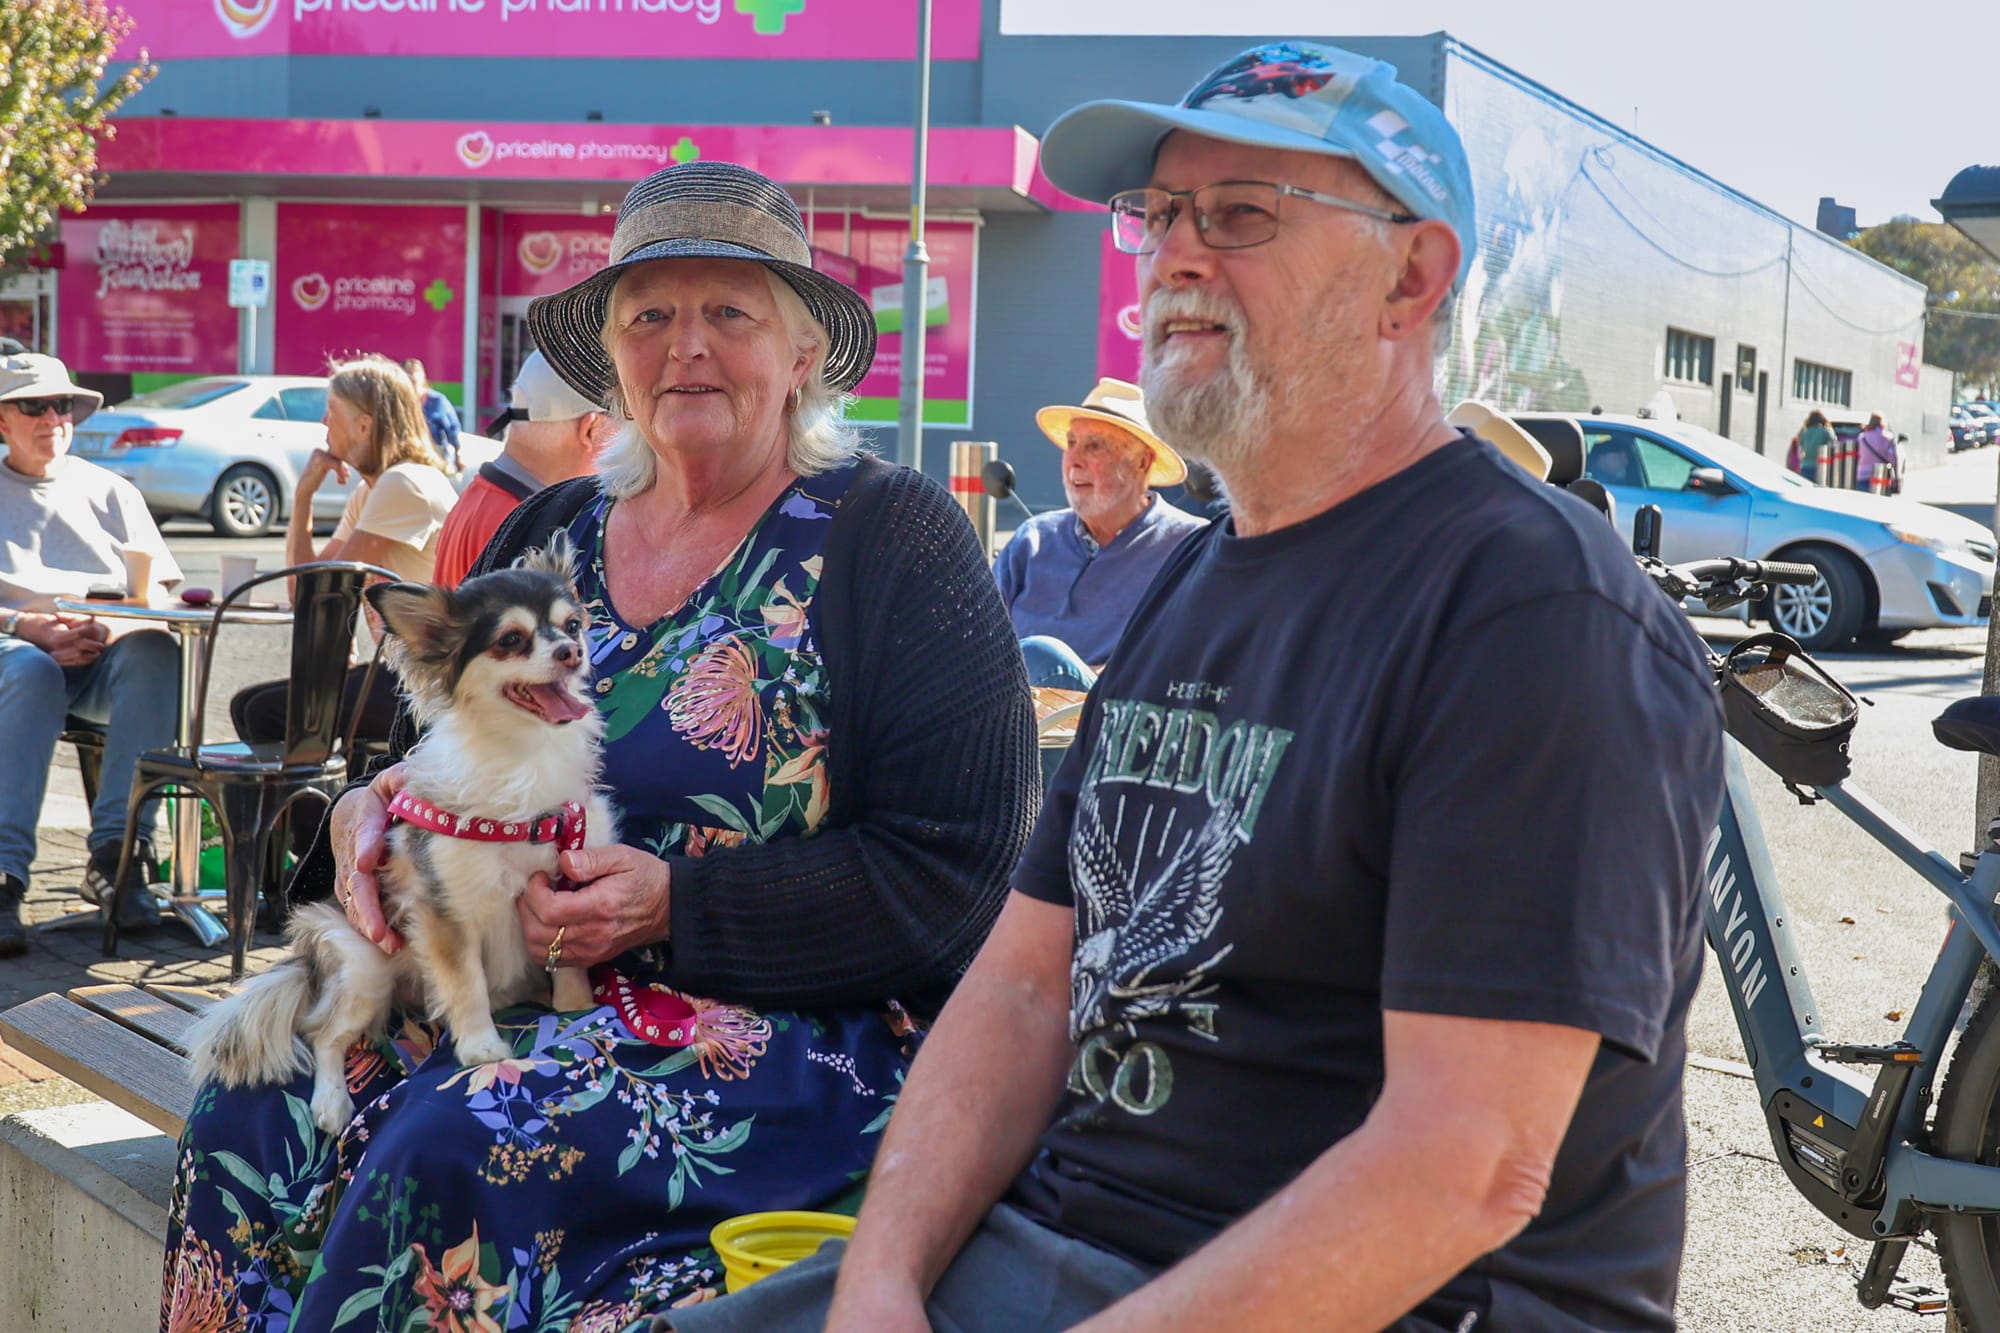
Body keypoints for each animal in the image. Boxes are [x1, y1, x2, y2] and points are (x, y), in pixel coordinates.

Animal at [190, 539, 617, 1133]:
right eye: (511, 640)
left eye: (573, 625)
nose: (571, 652)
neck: (525, 759)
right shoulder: (444, 909)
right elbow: (465, 980)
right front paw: (482, 1047)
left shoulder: (571, 889)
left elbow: (572, 959)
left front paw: (575, 1009)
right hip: (365, 969)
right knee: (324, 1036)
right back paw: (331, 1102)